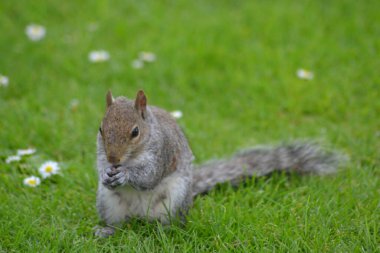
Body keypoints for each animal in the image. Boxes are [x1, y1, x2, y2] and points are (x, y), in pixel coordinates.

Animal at [94, 89, 342, 237]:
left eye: (135, 132)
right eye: (101, 129)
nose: (114, 159)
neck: (131, 158)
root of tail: (140, 216)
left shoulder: (163, 152)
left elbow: (149, 176)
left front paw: (125, 175)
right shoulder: (101, 153)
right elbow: (100, 166)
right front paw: (106, 173)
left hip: (174, 200)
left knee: (167, 224)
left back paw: (163, 232)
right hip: (109, 203)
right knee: (119, 224)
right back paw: (106, 231)